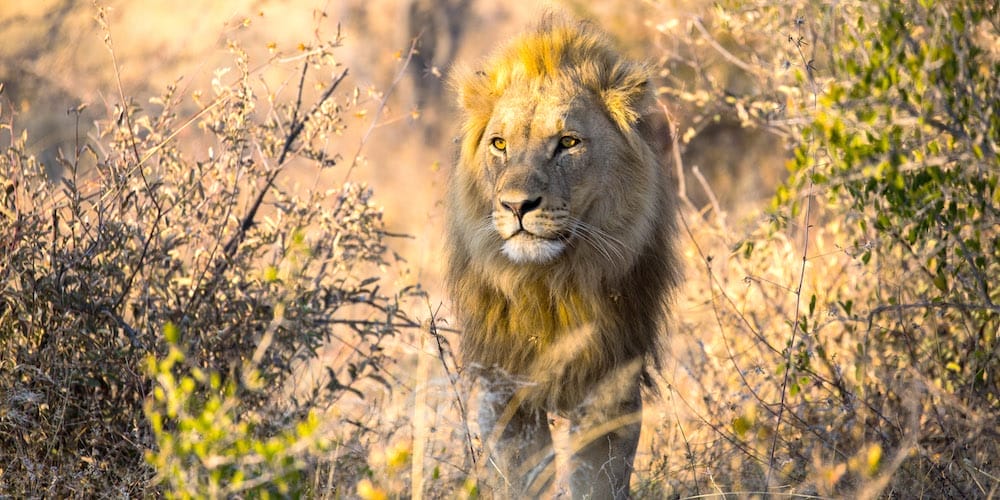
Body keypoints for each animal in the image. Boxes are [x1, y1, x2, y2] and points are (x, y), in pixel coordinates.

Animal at [448, 16, 676, 500]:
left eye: (568, 142)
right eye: (499, 144)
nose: (517, 205)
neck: (548, 283)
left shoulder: (611, 384)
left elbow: (598, 478)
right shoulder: (503, 386)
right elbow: (520, 475)